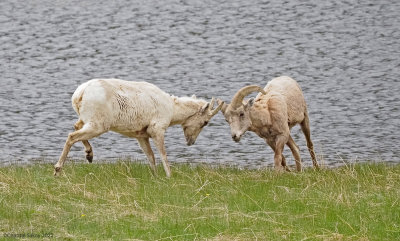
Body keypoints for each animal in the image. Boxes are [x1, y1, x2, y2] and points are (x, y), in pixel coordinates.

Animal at [53, 79, 223, 177]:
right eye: (205, 122)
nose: (190, 142)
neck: (172, 109)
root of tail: (79, 94)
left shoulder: (141, 136)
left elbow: (150, 156)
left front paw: (155, 176)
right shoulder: (157, 129)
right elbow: (163, 154)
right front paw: (169, 176)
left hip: (88, 120)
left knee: (76, 127)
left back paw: (89, 155)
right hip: (99, 125)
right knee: (72, 136)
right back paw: (57, 169)